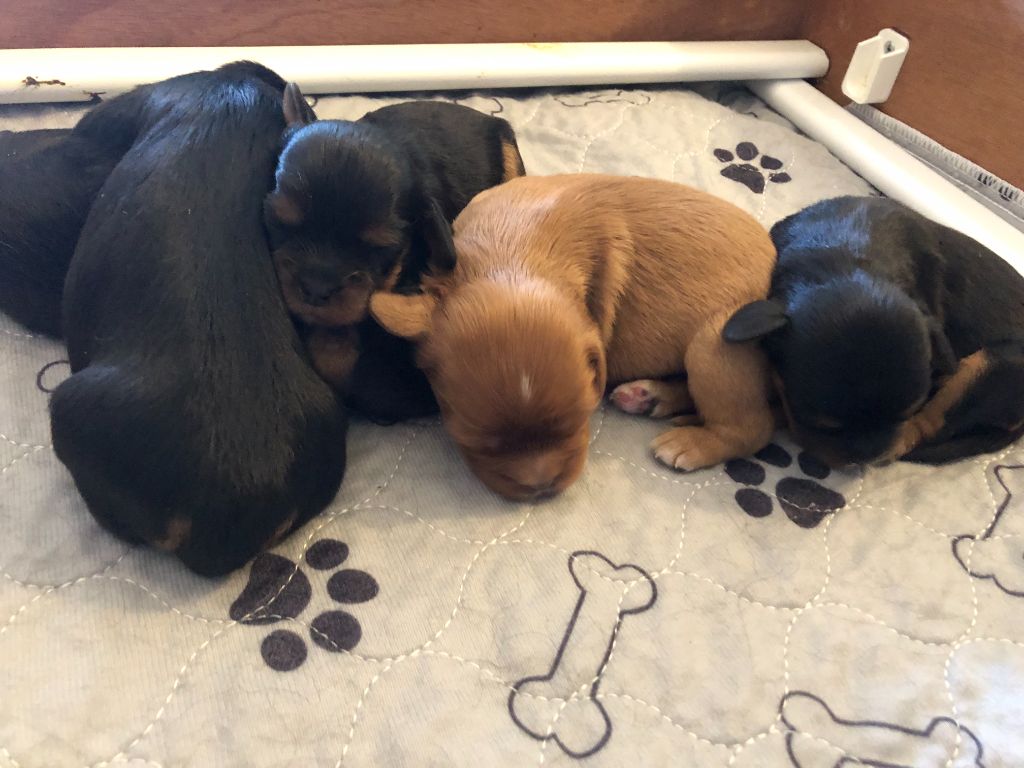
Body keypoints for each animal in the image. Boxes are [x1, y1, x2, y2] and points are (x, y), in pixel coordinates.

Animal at [370, 174, 778, 501]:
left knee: (753, 427)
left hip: (714, 342)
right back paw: (646, 396)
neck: (509, 256)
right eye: (475, 440)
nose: (540, 487)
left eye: (580, 419)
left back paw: (691, 442)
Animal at [723, 195, 1024, 466]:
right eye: (824, 425)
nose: (867, 459)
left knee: (927, 428)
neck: (844, 255)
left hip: (991, 364)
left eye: (907, 411)